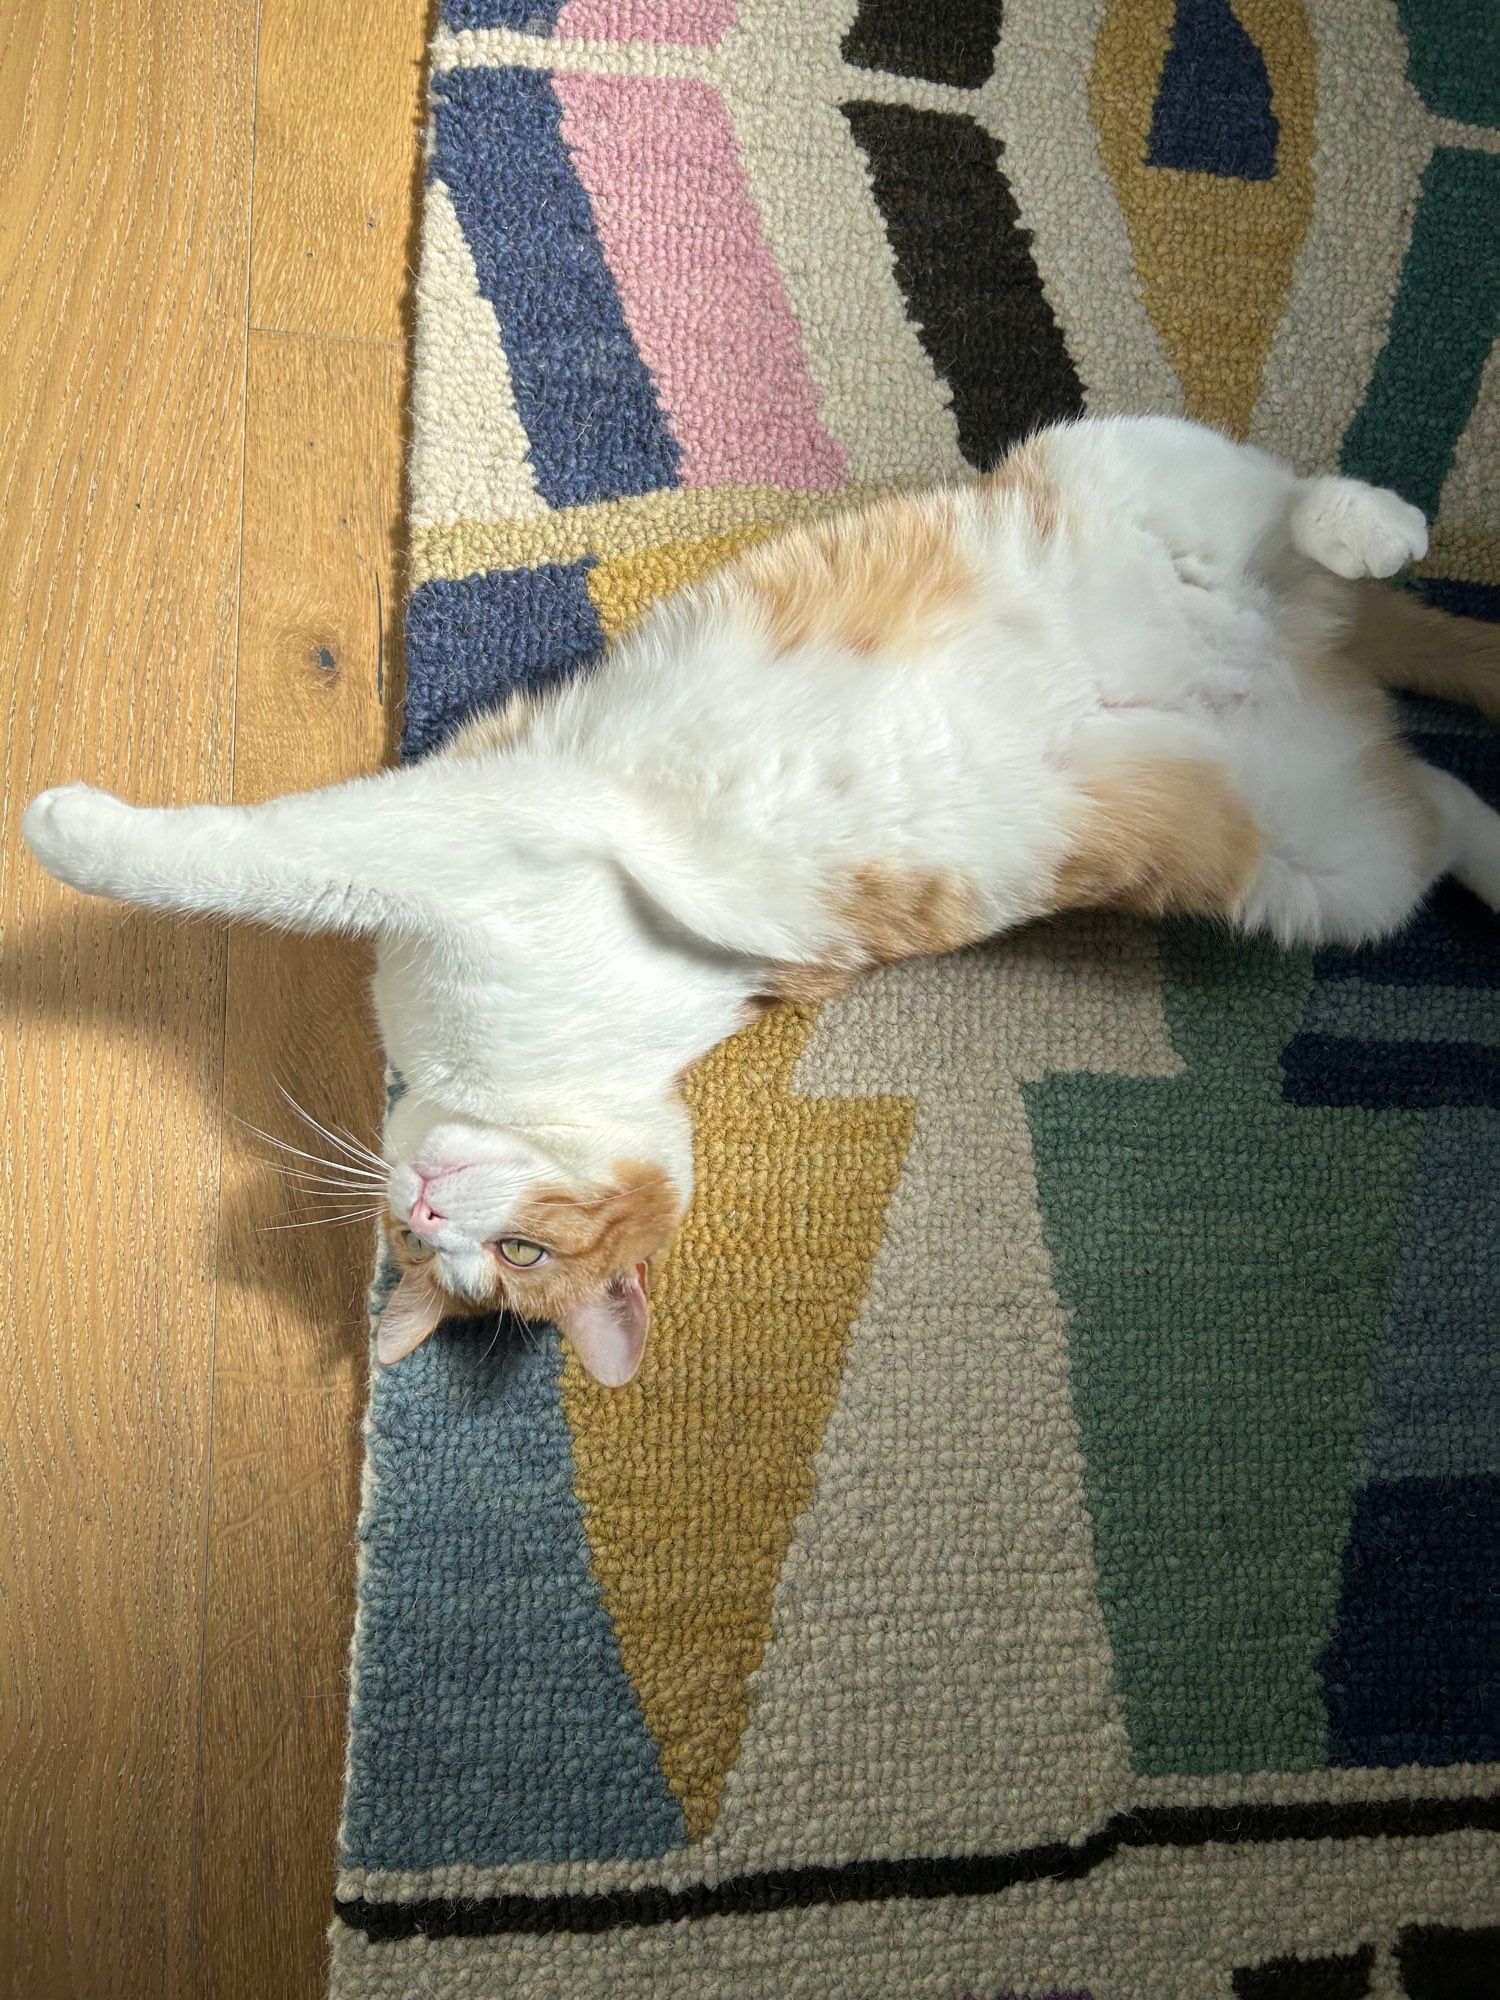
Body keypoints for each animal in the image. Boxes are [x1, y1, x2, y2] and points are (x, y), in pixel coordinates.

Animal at [23, 418, 1500, 1392]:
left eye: (518, 1254)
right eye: (435, 1256)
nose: (430, 1216)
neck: (586, 1074)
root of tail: (1300, 660)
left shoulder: (468, 835)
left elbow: (262, 856)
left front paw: (70, 831)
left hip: (1133, 485)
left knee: (1298, 512)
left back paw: (1368, 521)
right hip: (1321, 863)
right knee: (1434, 791)